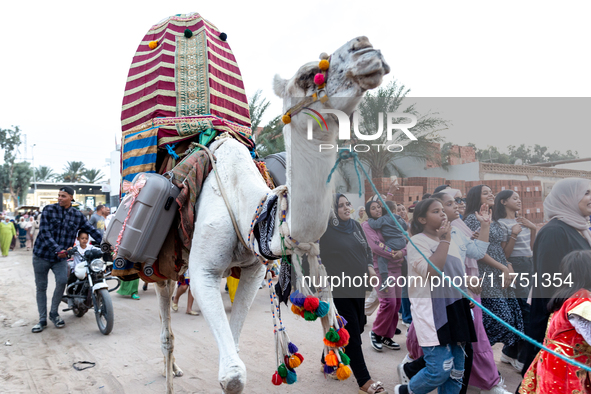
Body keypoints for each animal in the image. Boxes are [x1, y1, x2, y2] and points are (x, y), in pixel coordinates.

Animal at [155, 35, 390, 392]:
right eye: (308, 75)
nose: (364, 47)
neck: (249, 209)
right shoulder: (203, 272)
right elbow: (232, 377)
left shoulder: (253, 270)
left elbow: (234, 351)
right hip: (163, 264)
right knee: (166, 324)